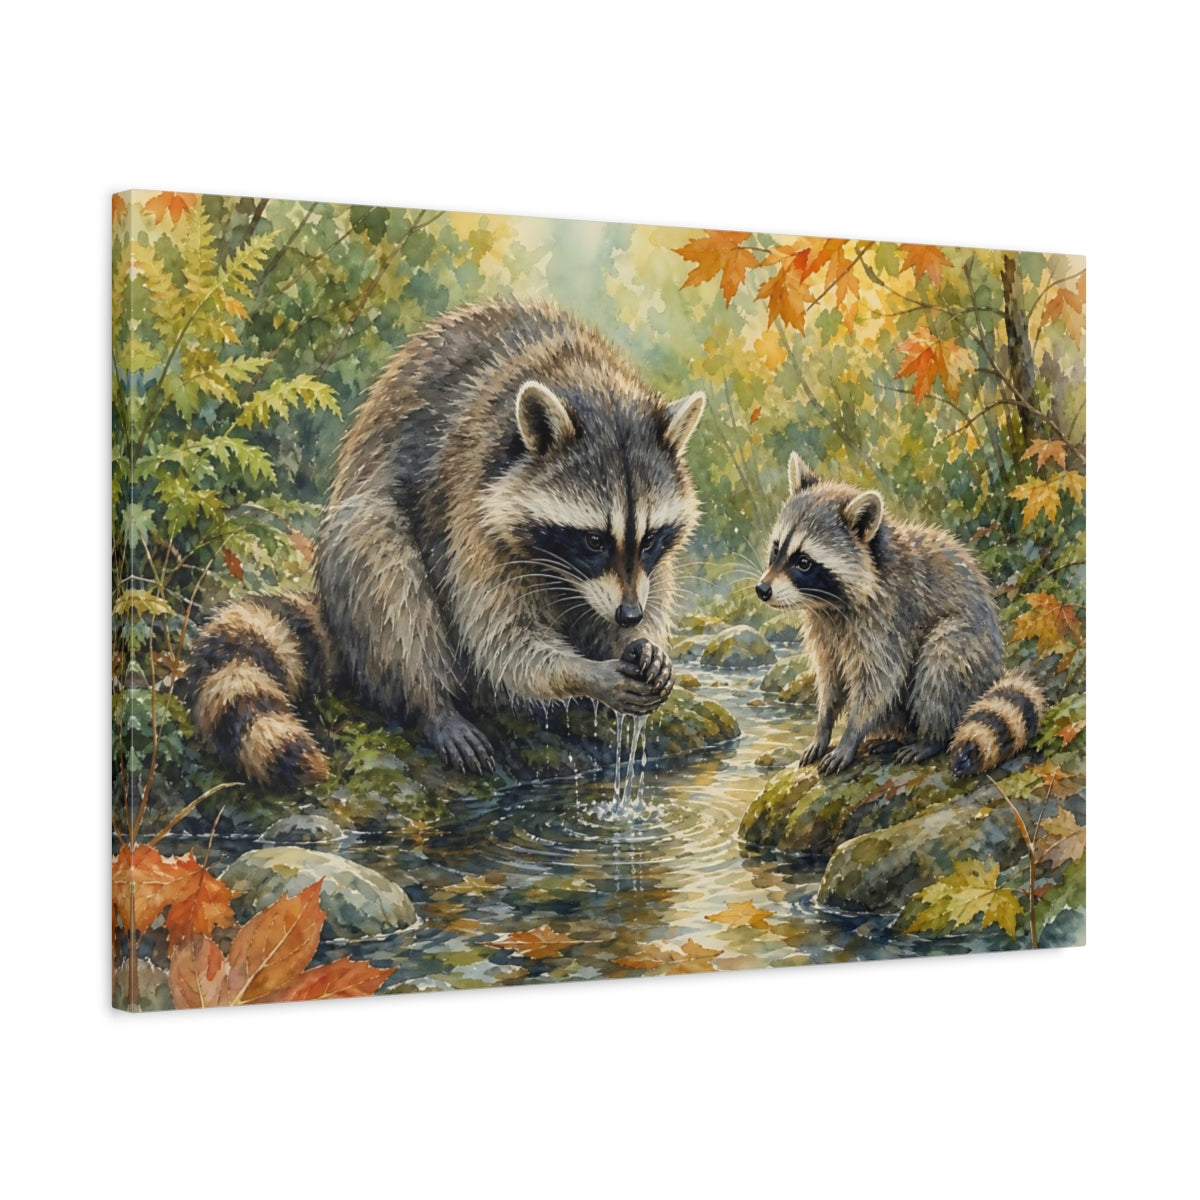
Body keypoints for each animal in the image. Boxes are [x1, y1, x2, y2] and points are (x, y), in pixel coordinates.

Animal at [186, 300, 705, 786]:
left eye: (651, 538)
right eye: (594, 540)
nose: (629, 615)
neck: (591, 384)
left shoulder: (644, 569)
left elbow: (650, 591)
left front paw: (640, 643)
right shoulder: (469, 511)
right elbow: (500, 641)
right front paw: (582, 672)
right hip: (365, 561)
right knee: (382, 565)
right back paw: (430, 701)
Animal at [756, 452, 1044, 778]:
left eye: (803, 562)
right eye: (776, 549)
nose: (762, 589)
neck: (829, 604)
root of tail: (993, 674)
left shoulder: (888, 620)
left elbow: (878, 683)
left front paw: (851, 735)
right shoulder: (823, 630)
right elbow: (830, 680)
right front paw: (823, 726)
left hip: (968, 649)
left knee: (941, 663)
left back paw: (931, 737)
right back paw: (894, 737)